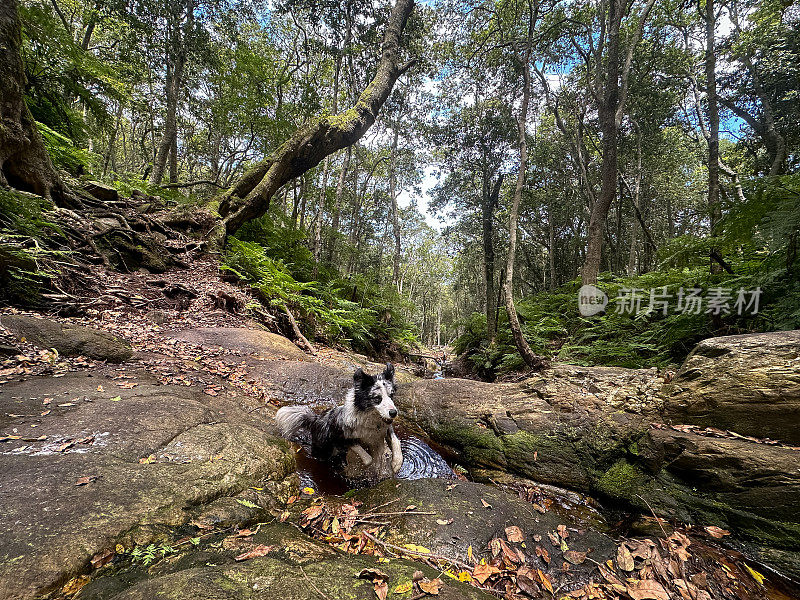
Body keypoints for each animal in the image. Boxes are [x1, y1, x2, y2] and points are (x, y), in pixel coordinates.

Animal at [276, 360, 404, 478]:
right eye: (377, 398)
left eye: (391, 395)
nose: (393, 413)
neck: (370, 420)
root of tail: (316, 419)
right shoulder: (339, 437)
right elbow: (367, 458)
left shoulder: (384, 430)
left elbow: (395, 441)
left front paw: (396, 463)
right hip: (323, 449)